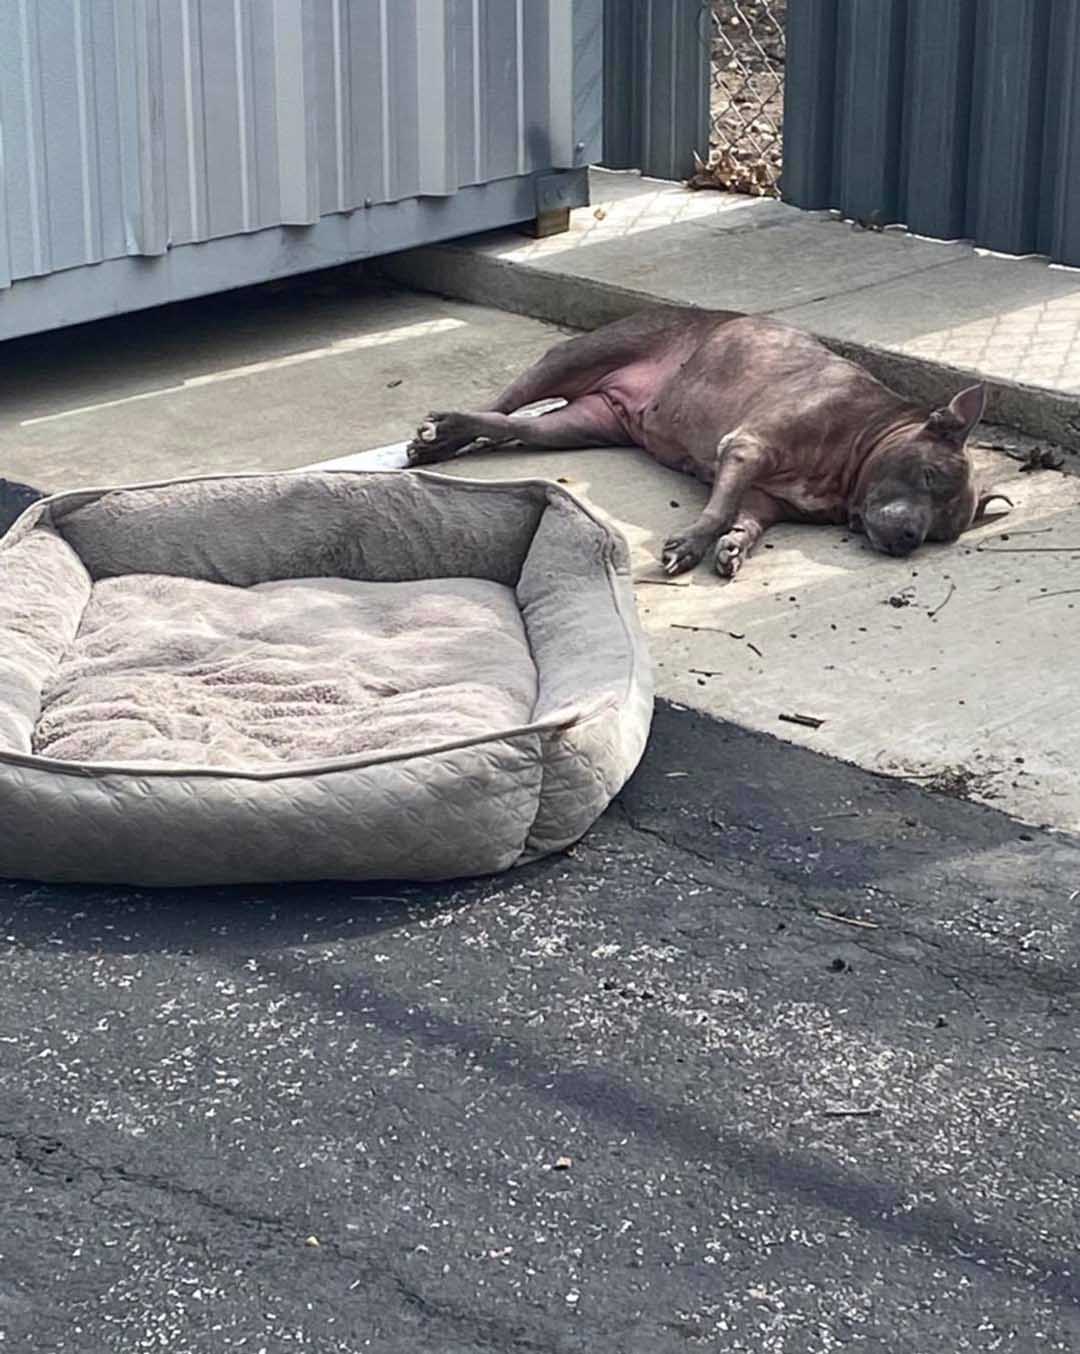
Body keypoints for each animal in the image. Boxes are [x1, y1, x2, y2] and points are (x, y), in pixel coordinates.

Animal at [408, 307, 1017, 576]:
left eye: (942, 533)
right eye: (929, 475)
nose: (912, 538)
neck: (861, 441)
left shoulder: (767, 498)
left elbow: (746, 519)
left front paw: (735, 546)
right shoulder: (745, 448)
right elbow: (720, 506)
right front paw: (693, 544)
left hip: (577, 425)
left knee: (513, 425)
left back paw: (448, 440)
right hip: (574, 357)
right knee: (504, 401)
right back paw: (442, 431)